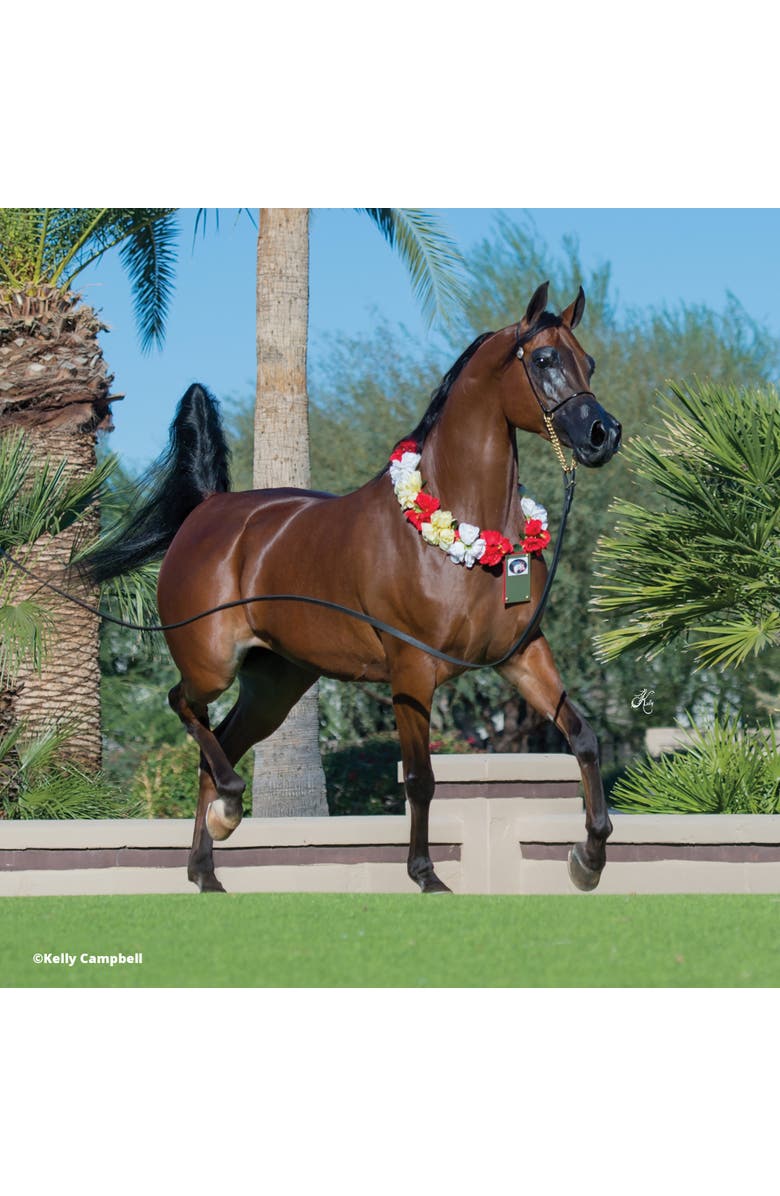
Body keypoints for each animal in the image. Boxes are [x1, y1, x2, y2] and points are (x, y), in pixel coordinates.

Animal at [84, 281, 622, 895]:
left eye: (589, 362)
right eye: (544, 359)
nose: (603, 435)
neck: (461, 531)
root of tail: (208, 510)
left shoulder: (523, 655)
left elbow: (583, 738)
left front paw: (589, 859)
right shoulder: (412, 670)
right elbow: (420, 778)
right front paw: (426, 876)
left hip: (275, 685)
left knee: (217, 744)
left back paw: (207, 867)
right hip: (210, 663)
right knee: (184, 708)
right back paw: (229, 808)